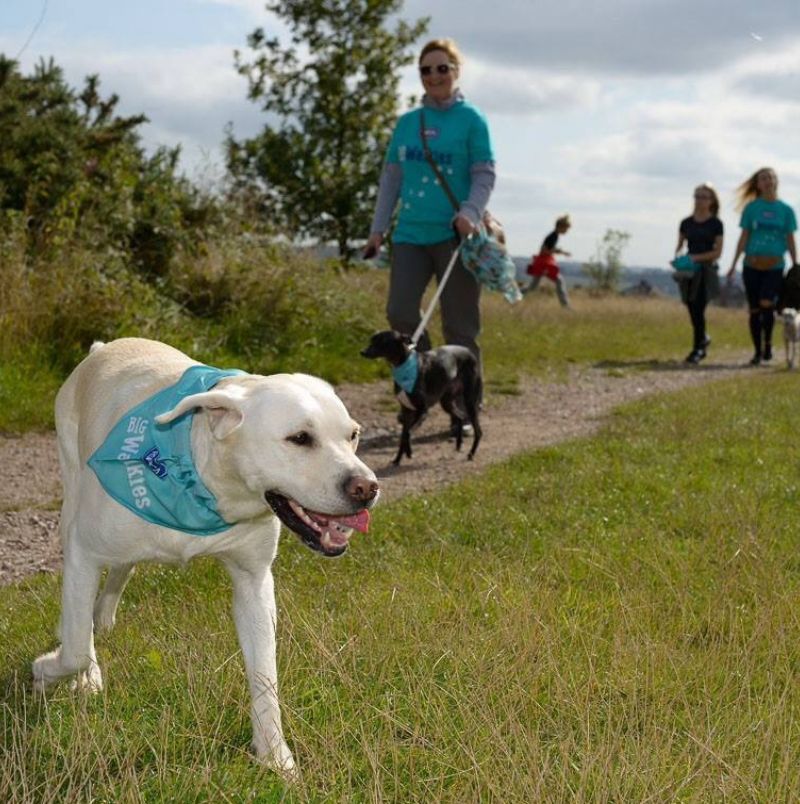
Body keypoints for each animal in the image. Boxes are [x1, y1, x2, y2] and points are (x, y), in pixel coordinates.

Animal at [32, 336, 380, 776]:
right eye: (300, 438)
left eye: (353, 435)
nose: (367, 487)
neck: (198, 480)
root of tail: (103, 347)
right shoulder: (84, 550)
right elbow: (76, 648)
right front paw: (49, 669)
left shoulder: (254, 582)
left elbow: (264, 676)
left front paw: (274, 755)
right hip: (70, 495)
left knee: (122, 570)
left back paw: (104, 615)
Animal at [360, 328, 482, 464]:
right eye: (372, 340)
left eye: (383, 342)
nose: (363, 352)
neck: (403, 366)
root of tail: (469, 352)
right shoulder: (406, 411)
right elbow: (403, 435)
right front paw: (397, 459)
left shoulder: (422, 410)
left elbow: (407, 433)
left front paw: (409, 452)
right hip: (447, 402)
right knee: (460, 416)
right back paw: (459, 444)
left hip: (470, 401)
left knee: (478, 431)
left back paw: (471, 453)